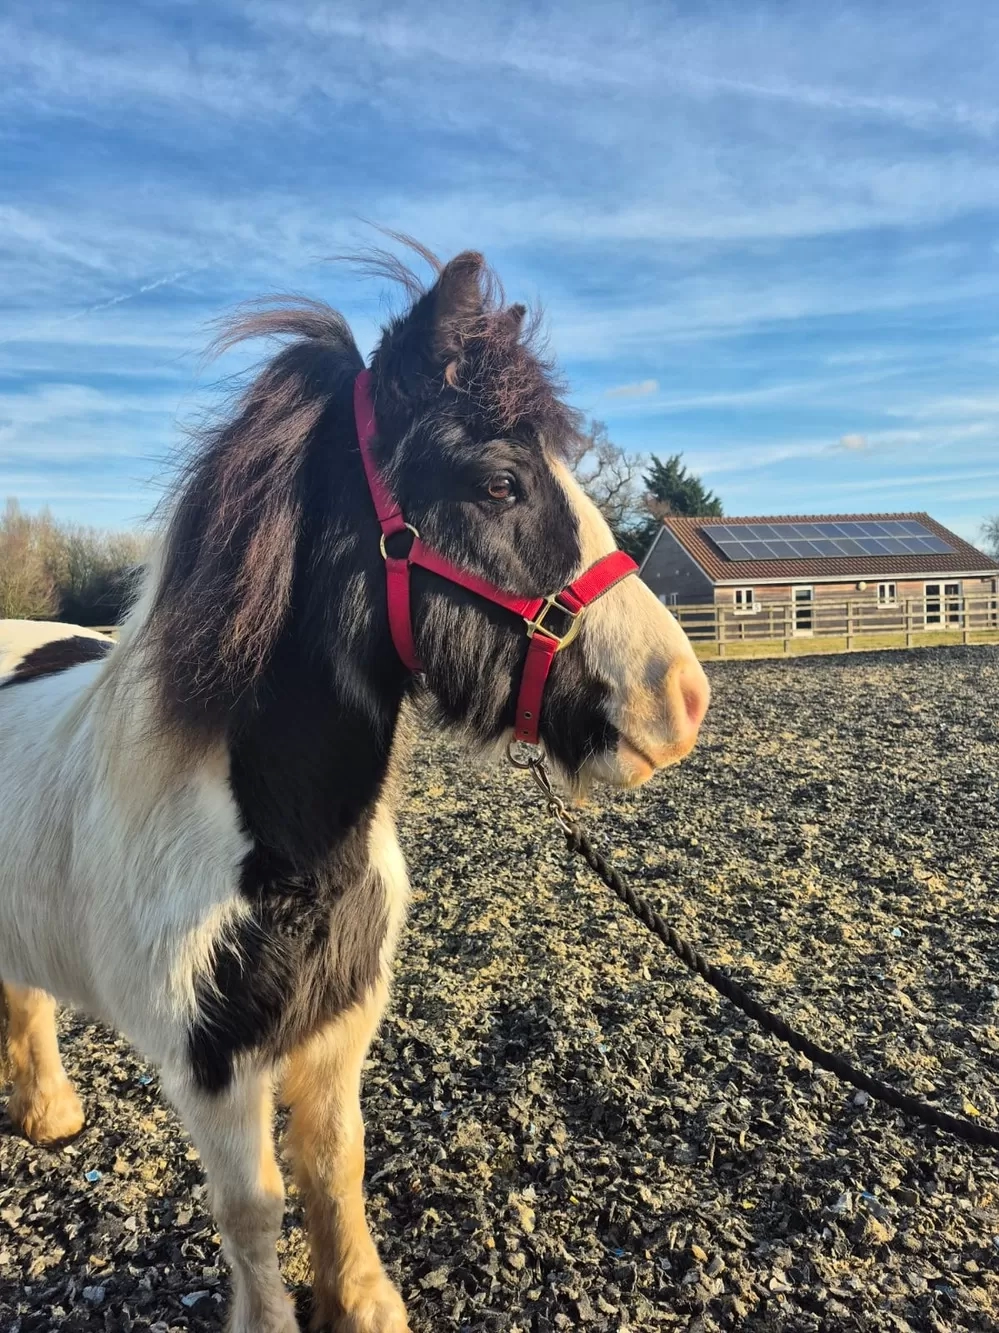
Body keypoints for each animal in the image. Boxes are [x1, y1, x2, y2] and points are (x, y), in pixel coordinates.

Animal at [0, 250, 704, 1333]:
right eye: (498, 483)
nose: (680, 697)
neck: (284, 844)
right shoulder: (211, 1065)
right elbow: (253, 1207)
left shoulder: (341, 1020)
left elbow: (336, 1165)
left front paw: (365, 1303)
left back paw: (48, 1114)